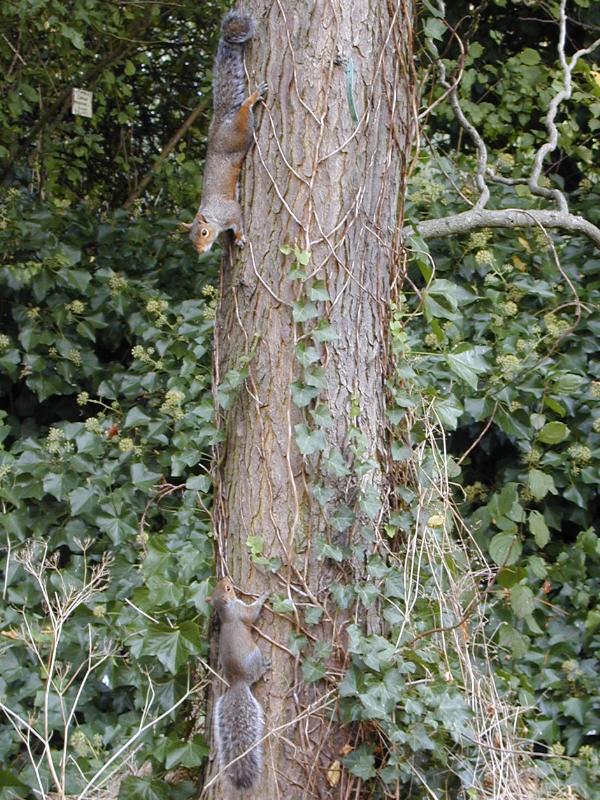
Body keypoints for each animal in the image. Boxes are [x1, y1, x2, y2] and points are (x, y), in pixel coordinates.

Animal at [183, 11, 267, 254]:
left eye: (203, 232)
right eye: (191, 240)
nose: (201, 251)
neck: (213, 217)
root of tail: (220, 123)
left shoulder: (230, 209)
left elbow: (238, 220)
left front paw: (239, 237)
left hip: (240, 133)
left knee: (244, 110)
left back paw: (252, 98)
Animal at [211, 577, 270, 790]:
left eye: (222, 586)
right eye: (228, 589)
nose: (227, 578)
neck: (226, 612)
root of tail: (238, 683)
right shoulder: (241, 611)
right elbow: (252, 614)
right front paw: (264, 596)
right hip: (256, 655)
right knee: (258, 673)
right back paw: (264, 668)